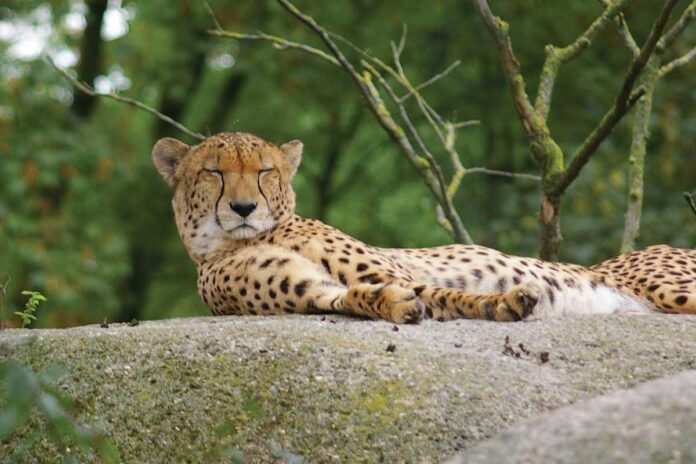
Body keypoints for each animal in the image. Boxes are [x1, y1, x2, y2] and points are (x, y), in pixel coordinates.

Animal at [152, 132, 696, 323]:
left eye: (265, 171)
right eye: (214, 172)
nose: (244, 207)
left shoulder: (391, 270)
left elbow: (441, 290)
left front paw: (504, 300)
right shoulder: (311, 292)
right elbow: (355, 296)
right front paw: (393, 306)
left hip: (673, 288)